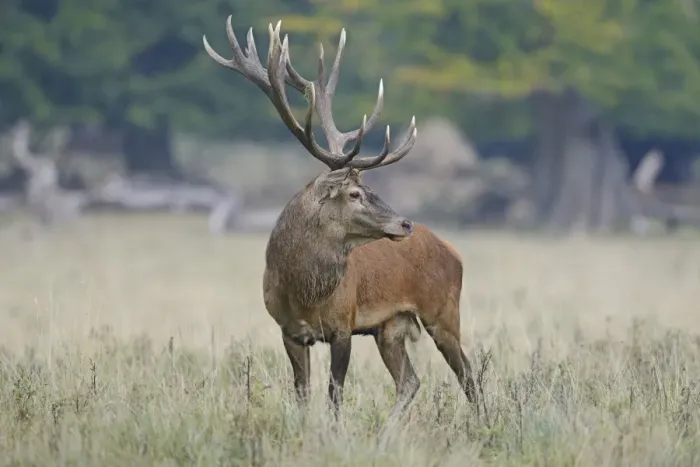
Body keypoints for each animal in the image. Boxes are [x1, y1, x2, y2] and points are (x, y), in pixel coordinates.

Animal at [203, 17, 477, 419]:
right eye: (354, 194)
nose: (405, 223)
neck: (302, 292)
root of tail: (453, 251)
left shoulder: (343, 326)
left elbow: (334, 398)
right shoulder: (289, 331)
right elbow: (303, 395)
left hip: (442, 311)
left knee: (469, 375)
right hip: (390, 326)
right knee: (410, 381)